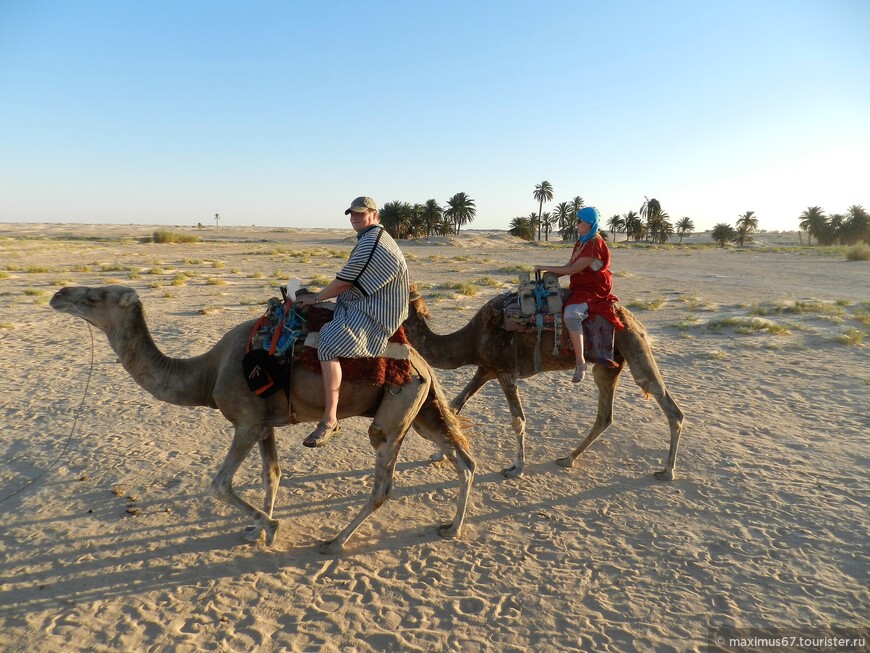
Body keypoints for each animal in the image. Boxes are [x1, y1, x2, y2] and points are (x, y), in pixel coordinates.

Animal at [50, 284, 474, 552]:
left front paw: (269, 527)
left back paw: (335, 542)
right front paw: (258, 529)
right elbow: (272, 474)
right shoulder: (265, 423)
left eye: (94, 296)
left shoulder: (246, 422)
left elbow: (220, 485)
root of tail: (422, 363)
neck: (208, 373)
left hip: (393, 413)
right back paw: (451, 528)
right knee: (463, 460)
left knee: (383, 484)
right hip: (421, 409)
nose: (57, 294)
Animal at [406, 288, 684, 482]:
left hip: (633, 344)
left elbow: (517, 420)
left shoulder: (506, 371)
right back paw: (568, 458)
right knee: (605, 415)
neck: (472, 339)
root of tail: (634, 320)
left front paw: (516, 468)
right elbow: (455, 405)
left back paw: (667, 471)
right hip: (607, 366)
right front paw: (437, 455)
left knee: (665, 401)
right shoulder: (486, 369)